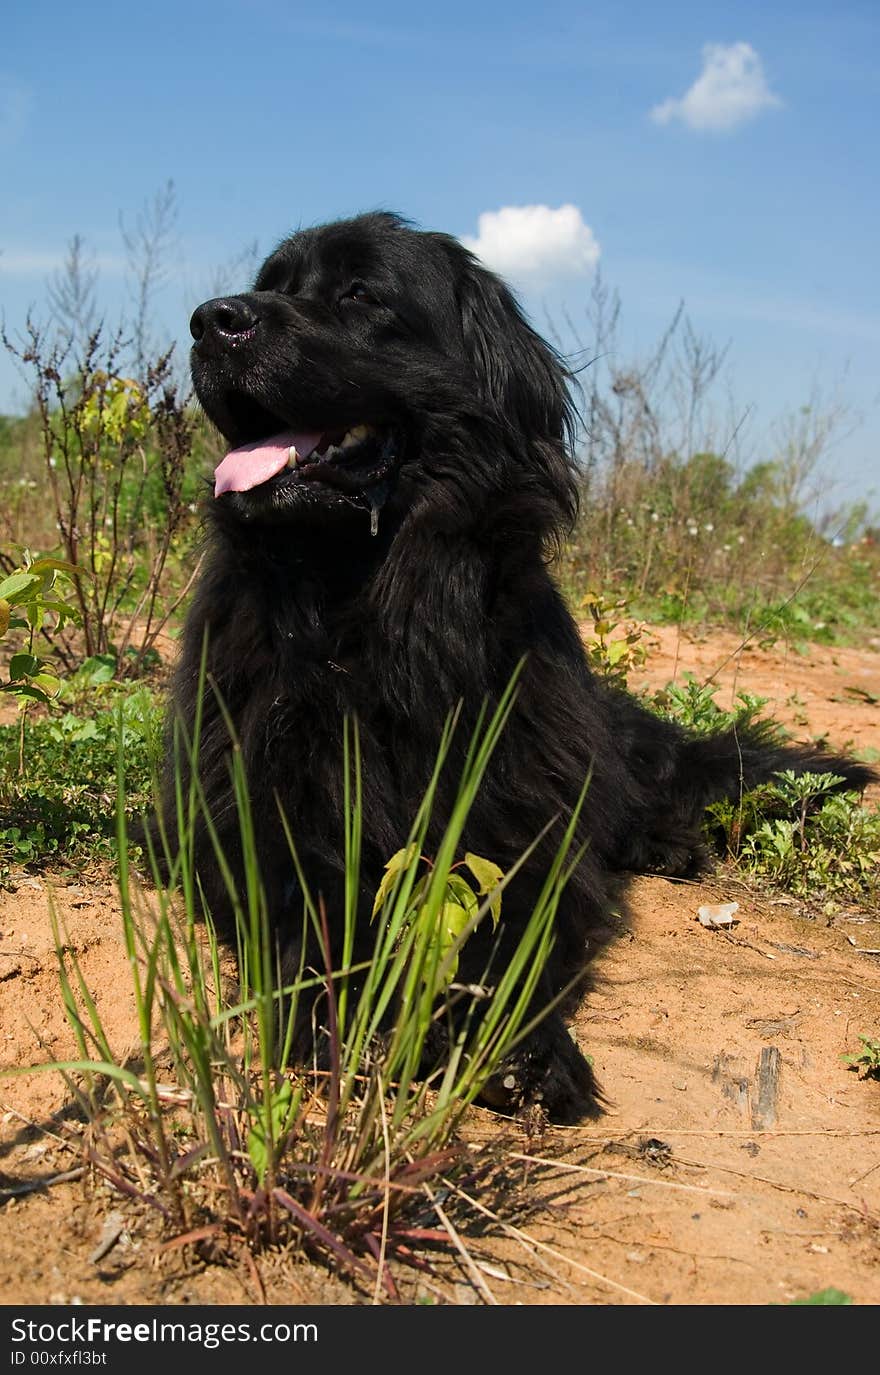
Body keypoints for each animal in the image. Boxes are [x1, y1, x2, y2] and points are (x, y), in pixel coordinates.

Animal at [166, 209, 874, 1122]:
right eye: (273, 285)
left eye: (360, 293)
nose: (211, 321)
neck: (372, 611)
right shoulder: (257, 809)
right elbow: (316, 905)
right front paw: (350, 1011)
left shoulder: (516, 806)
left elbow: (510, 916)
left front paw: (512, 1043)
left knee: (634, 784)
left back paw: (665, 840)